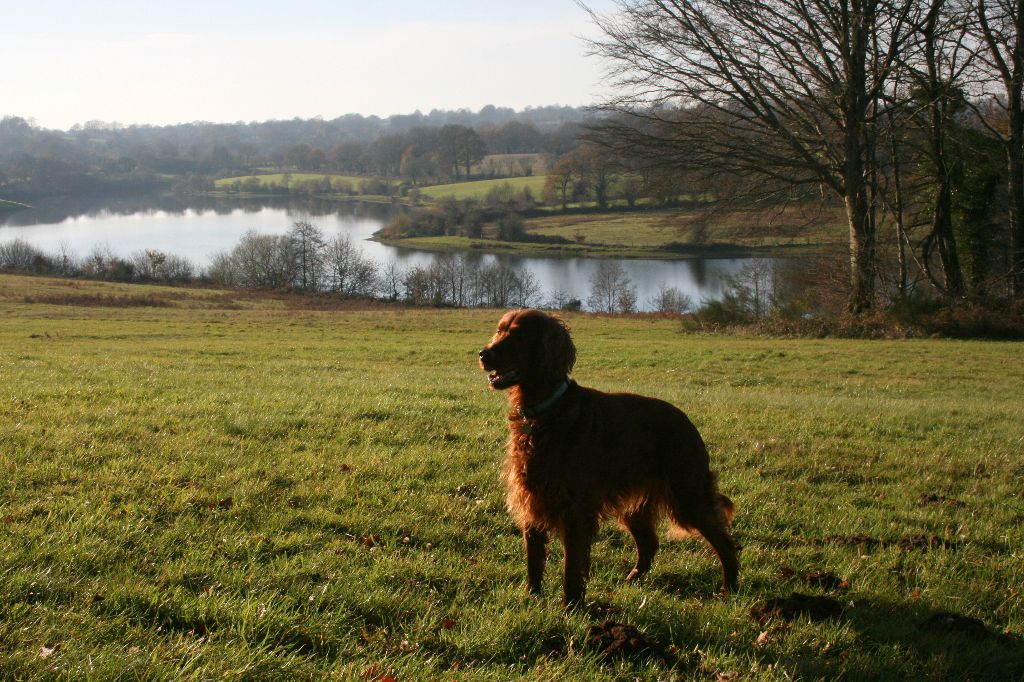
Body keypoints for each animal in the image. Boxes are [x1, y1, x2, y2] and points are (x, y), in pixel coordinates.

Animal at [479, 307, 737, 606]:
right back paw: (633, 579)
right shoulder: (531, 497)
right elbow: (534, 558)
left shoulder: (575, 509)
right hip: (636, 506)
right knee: (649, 543)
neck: (545, 413)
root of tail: (688, 423)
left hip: (688, 495)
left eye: (519, 335)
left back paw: (730, 588)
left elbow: (572, 565)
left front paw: (570, 606)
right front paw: (531, 597)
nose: (483, 354)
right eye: (499, 330)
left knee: (725, 542)